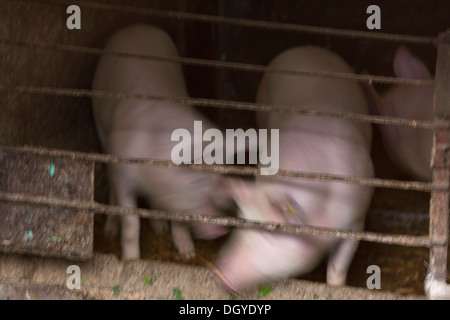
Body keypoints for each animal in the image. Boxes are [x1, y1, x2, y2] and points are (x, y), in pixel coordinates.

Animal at [93, 24, 230, 260]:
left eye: (219, 179)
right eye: (197, 180)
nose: (222, 229)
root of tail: (137, 26)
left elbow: (178, 219)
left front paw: (187, 253)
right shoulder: (123, 175)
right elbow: (131, 221)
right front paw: (131, 260)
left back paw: (160, 228)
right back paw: (110, 230)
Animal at [214, 46, 372, 292]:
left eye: (272, 232)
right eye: (242, 219)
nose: (217, 272)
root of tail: (307, 48)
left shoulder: (356, 222)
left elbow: (338, 267)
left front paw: (336, 287)